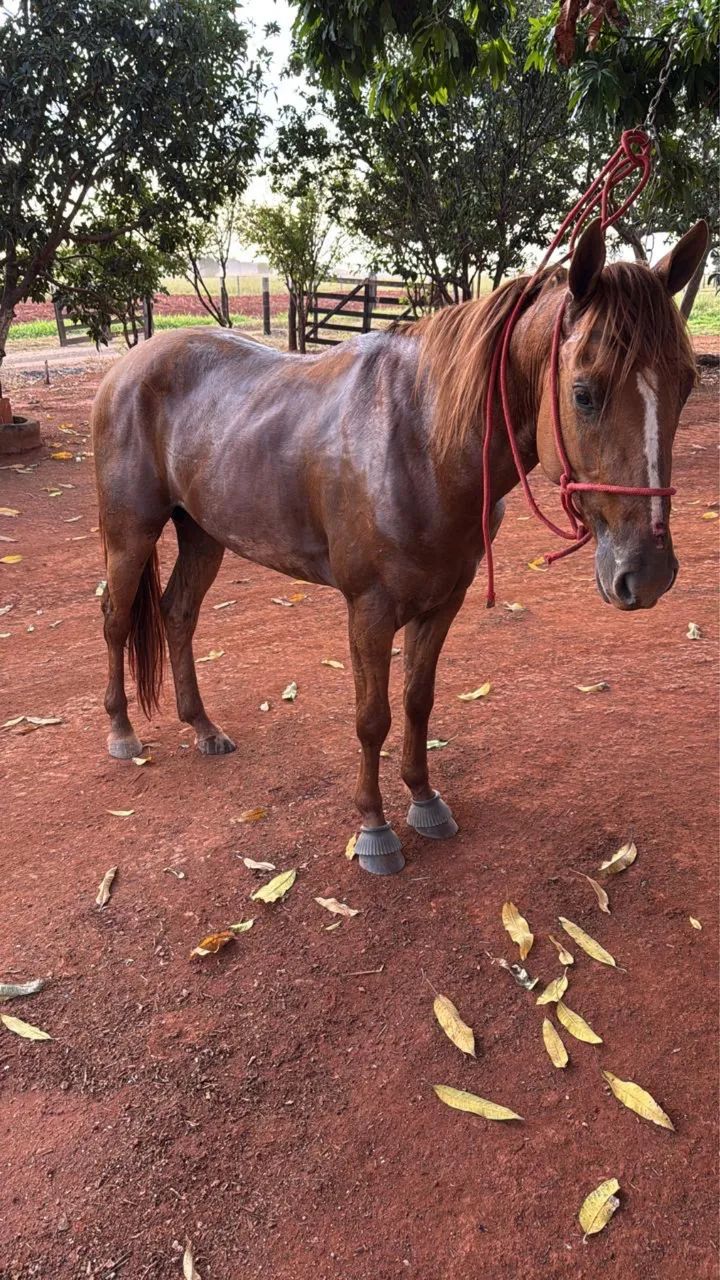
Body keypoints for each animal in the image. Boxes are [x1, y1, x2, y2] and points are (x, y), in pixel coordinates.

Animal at [91, 218, 708, 875]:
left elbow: (417, 701)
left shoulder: (442, 602)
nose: (647, 573)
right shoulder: (369, 609)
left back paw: (203, 728)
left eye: (686, 385)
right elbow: (372, 718)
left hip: (203, 535)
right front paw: (374, 828)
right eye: (585, 392)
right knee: (115, 619)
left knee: (178, 614)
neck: (422, 440)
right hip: (130, 534)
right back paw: (122, 732)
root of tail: (128, 366)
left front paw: (424, 800)